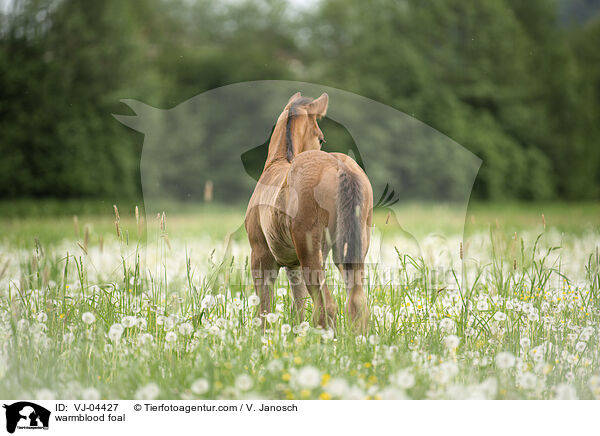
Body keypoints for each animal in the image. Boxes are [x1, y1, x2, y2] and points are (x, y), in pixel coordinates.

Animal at [244, 91, 370, 330]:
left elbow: (264, 308)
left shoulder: (261, 257)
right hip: (350, 250)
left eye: (321, 138)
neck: (277, 163)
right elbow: (299, 305)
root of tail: (340, 164)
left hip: (310, 251)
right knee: (357, 301)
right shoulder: (293, 265)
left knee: (326, 306)